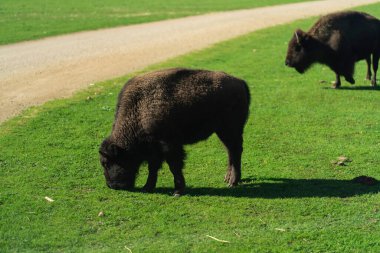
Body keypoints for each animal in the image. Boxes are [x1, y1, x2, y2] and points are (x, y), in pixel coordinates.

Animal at [99, 67, 251, 196]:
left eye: (106, 162)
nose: (111, 186)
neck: (139, 109)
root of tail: (240, 82)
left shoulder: (169, 146)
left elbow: (174, 166)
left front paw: (177, 191)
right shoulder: (155, 151)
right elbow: (153, 168)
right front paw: (147, 187)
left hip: (229, 130)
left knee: (235, 151)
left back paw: (232, 182)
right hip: (222, 132)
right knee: (230, 152)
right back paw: (227, 178)